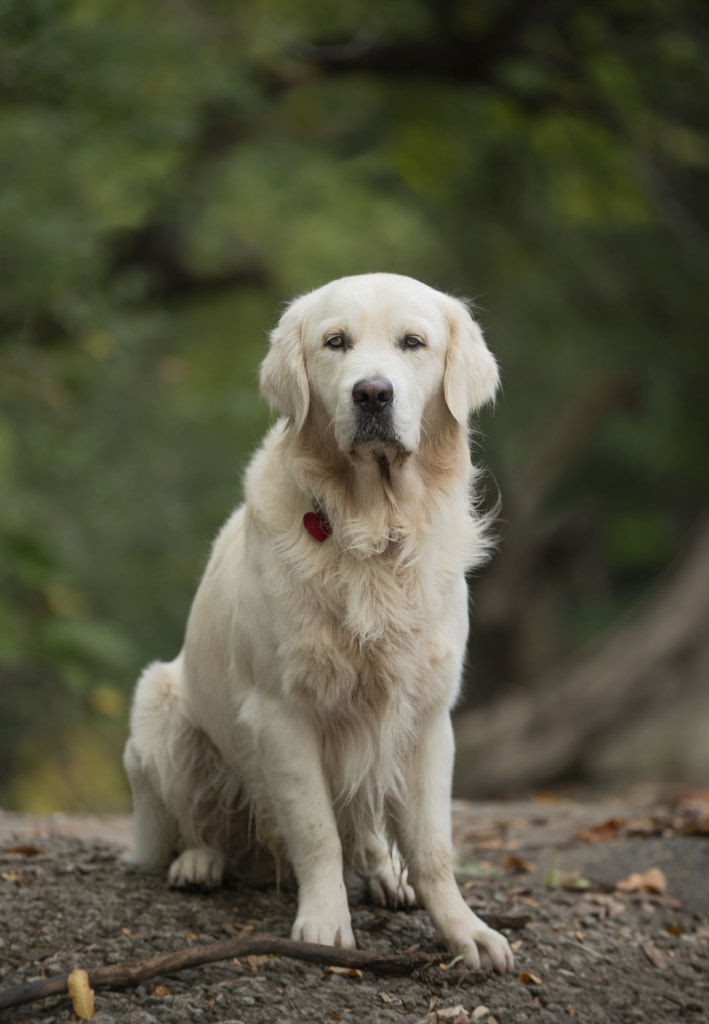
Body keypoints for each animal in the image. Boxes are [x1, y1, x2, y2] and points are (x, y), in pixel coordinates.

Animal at [124, 270, 512, 966]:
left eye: (413, 342)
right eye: (336, 342)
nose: (373, 393)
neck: (372, 529)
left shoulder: (426, 716)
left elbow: (433, 848)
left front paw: (463, 930)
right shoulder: (283, 712)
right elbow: (315, 831)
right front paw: (326, 925)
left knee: (370, 833)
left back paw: (385, 875)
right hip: (159, 705)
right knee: (200, 824)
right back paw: (199, 863)